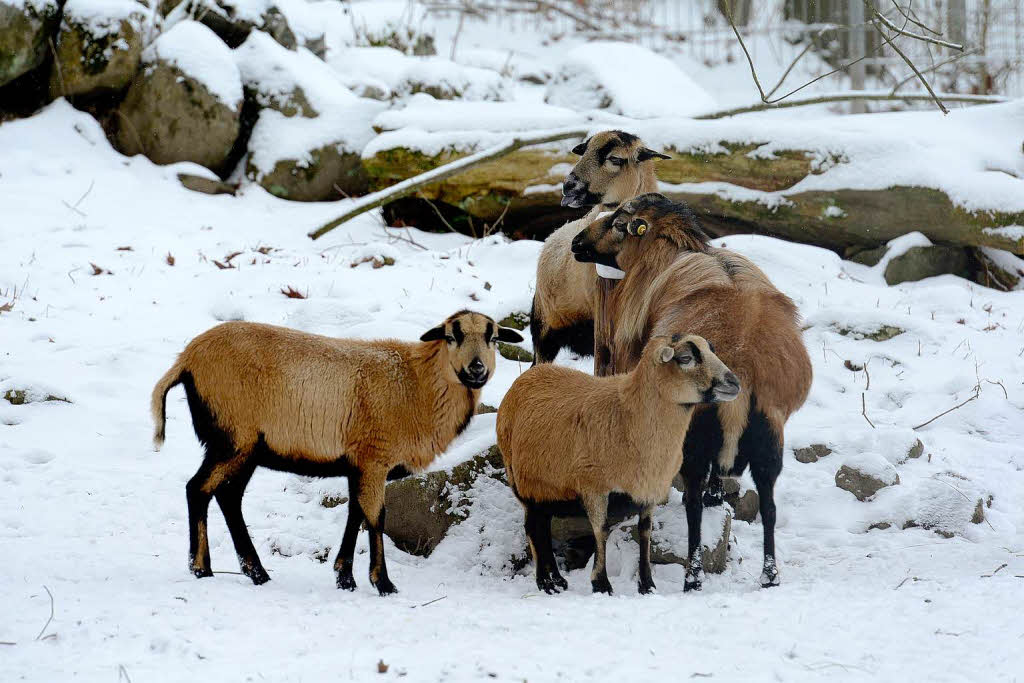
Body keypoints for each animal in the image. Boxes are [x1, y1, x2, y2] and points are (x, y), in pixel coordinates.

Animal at [149, 309, 528, 593]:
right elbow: (375, 517)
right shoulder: (374, 457)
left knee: (228, 497)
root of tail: (186, 359)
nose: (477, 368)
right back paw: (202, 568)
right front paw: (383, 583)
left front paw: (345, 577)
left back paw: (255, 571)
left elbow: (355, 514)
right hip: (232, 437)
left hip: (246, 448)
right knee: (198, 489)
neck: (418, 384)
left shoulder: (358, 463)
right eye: (452, 336)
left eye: (493, 337)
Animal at [495, 333, 737, 593]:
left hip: (547, 490)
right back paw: (544, 582)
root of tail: (526, 377)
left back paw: (558, 580)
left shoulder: (648, 489)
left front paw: (647, 584)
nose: (734, 383)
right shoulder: (593, 486)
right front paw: (601, 584)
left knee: (544, 528)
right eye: (685, 358)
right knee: (533, 528)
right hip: (520, 481)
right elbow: (600, 531)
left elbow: (645, 532)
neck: (629, 416)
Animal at [573, 193, 811, 593]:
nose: (576, 243)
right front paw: (719, 495)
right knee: (769, 506)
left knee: (694, 506)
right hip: (769, 437)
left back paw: (693, 577)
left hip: (693, 435)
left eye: (620, 224)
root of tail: (744, 368)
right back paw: (769, 575)